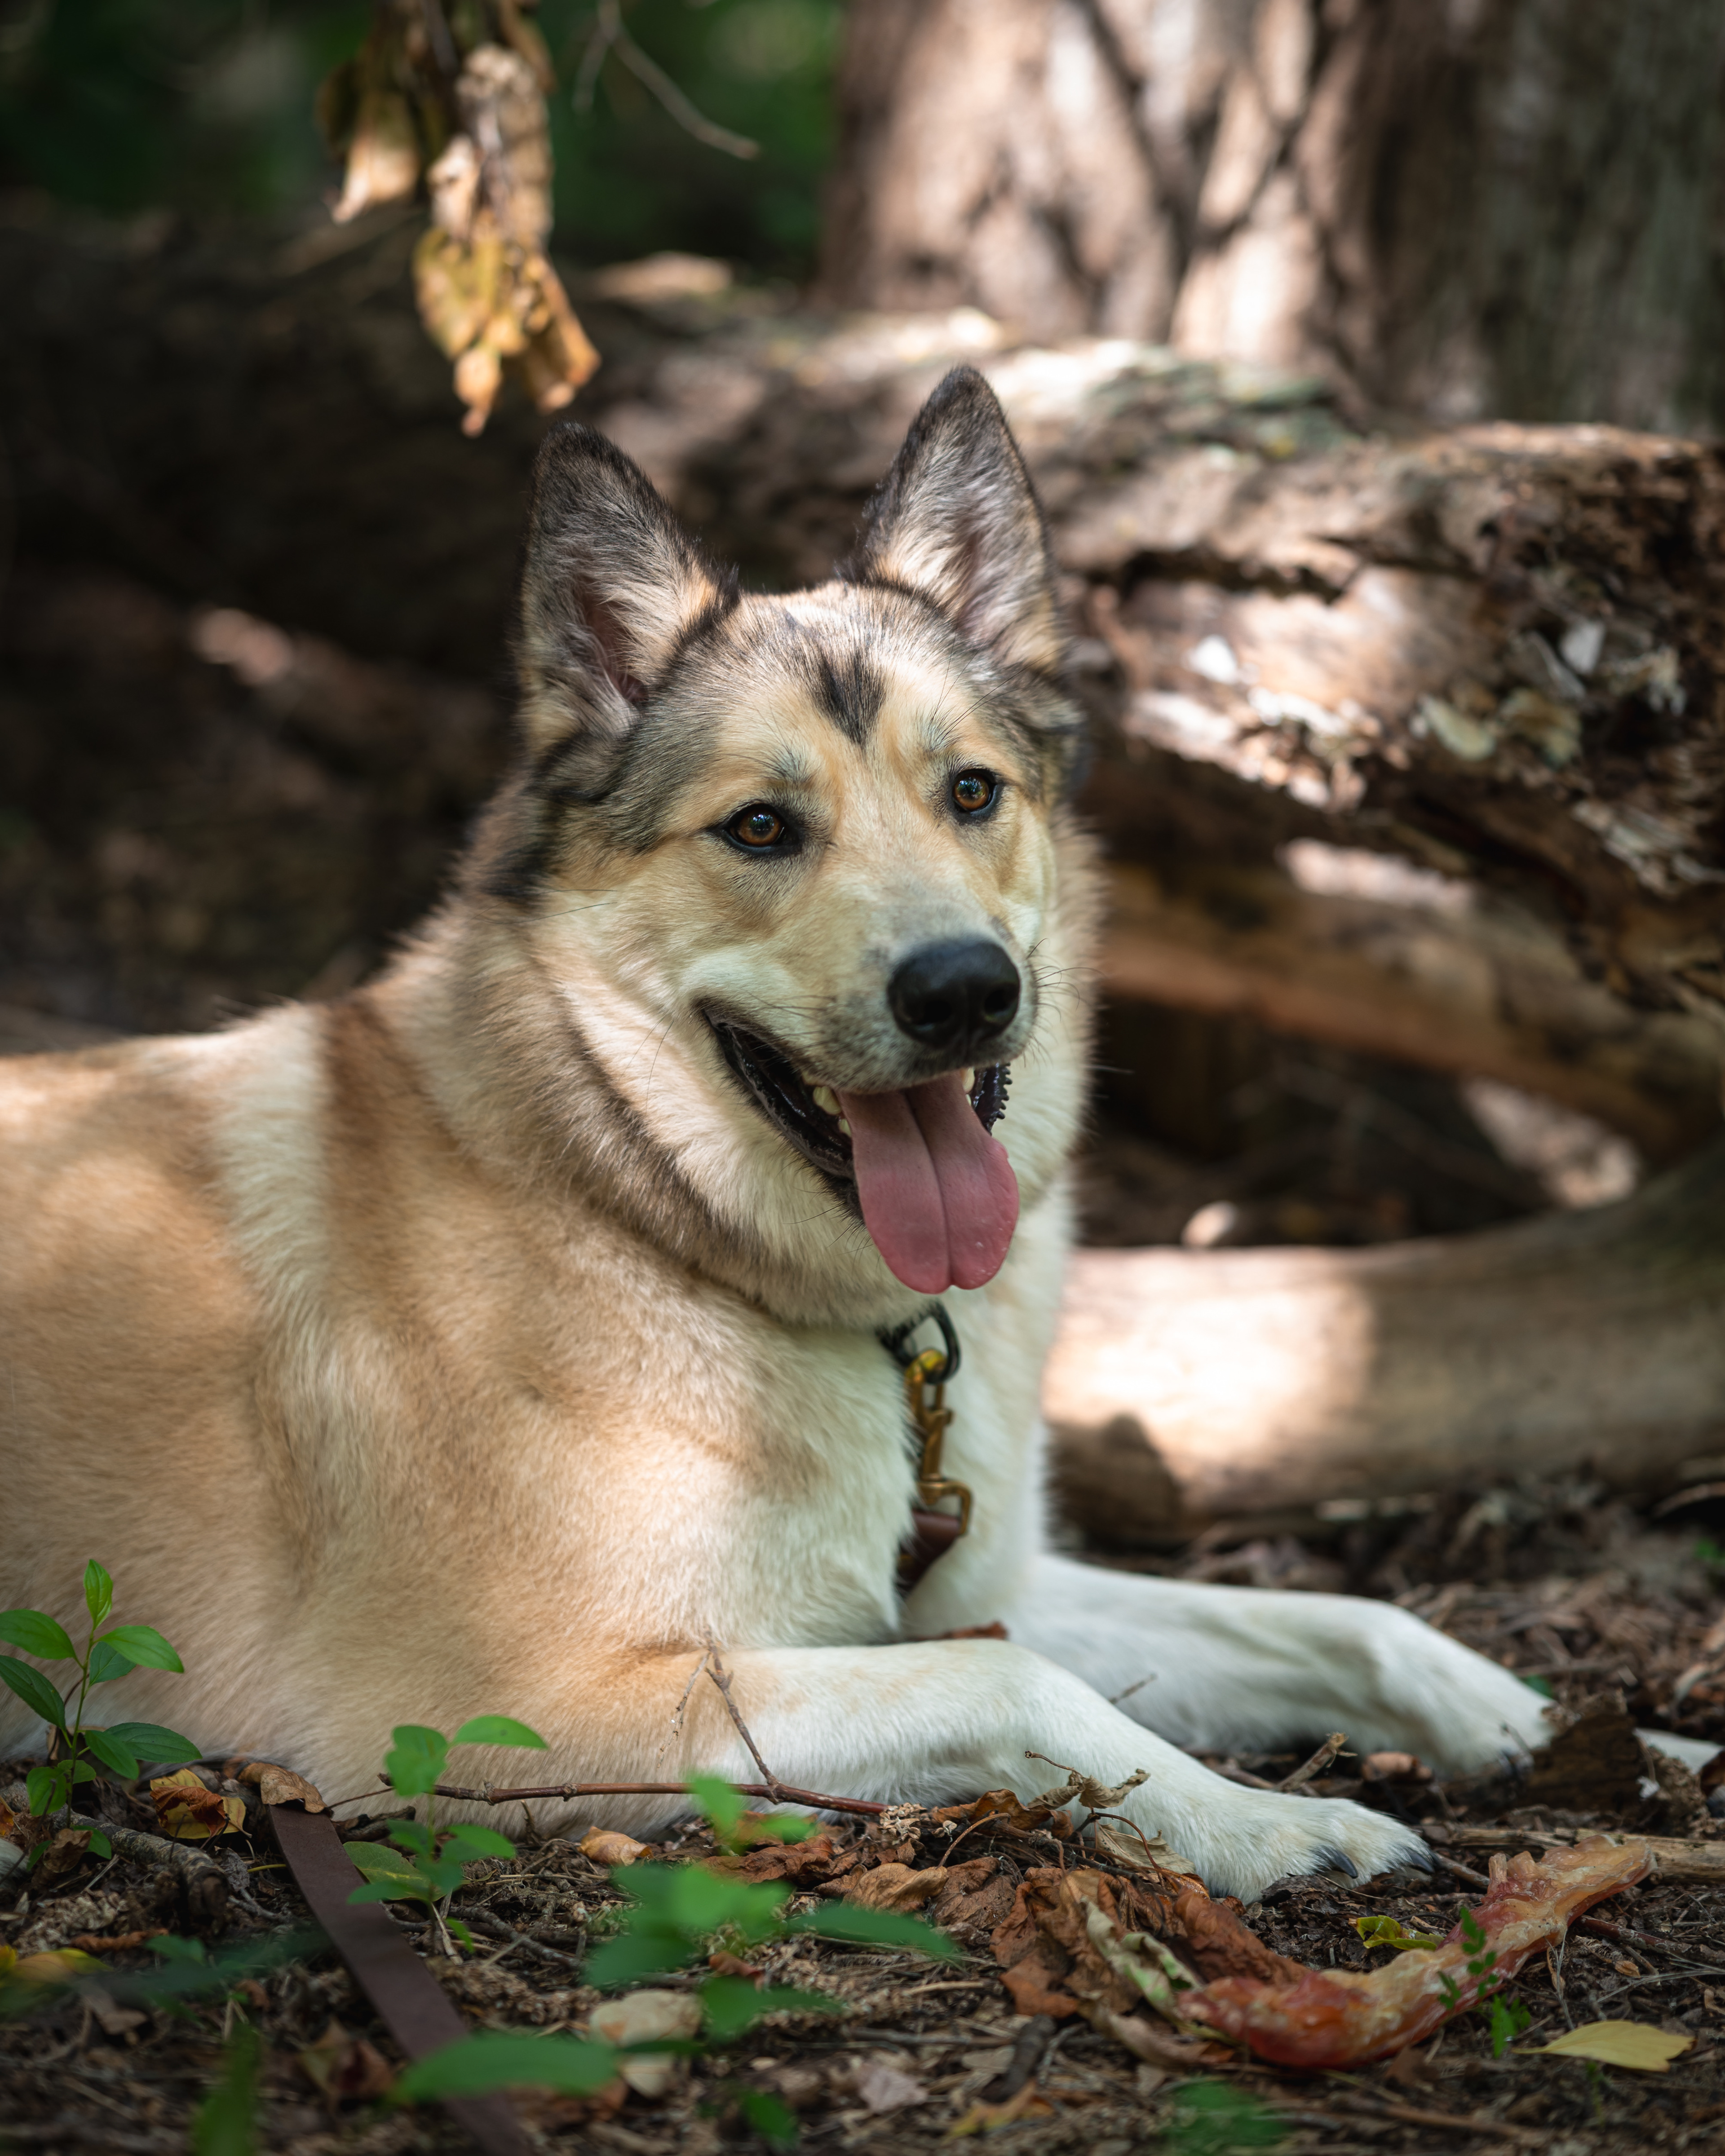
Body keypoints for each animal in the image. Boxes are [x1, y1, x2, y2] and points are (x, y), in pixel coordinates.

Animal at [0, 367, 1557, 1898]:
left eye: (972, 792)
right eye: (759, 828)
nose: (962, 992)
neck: (639, 1207)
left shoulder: (969, 1589)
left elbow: (1329, 1614)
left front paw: (1541, 1723)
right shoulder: (480, 1710)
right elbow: (1020, 1690)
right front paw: (1273, 1826)